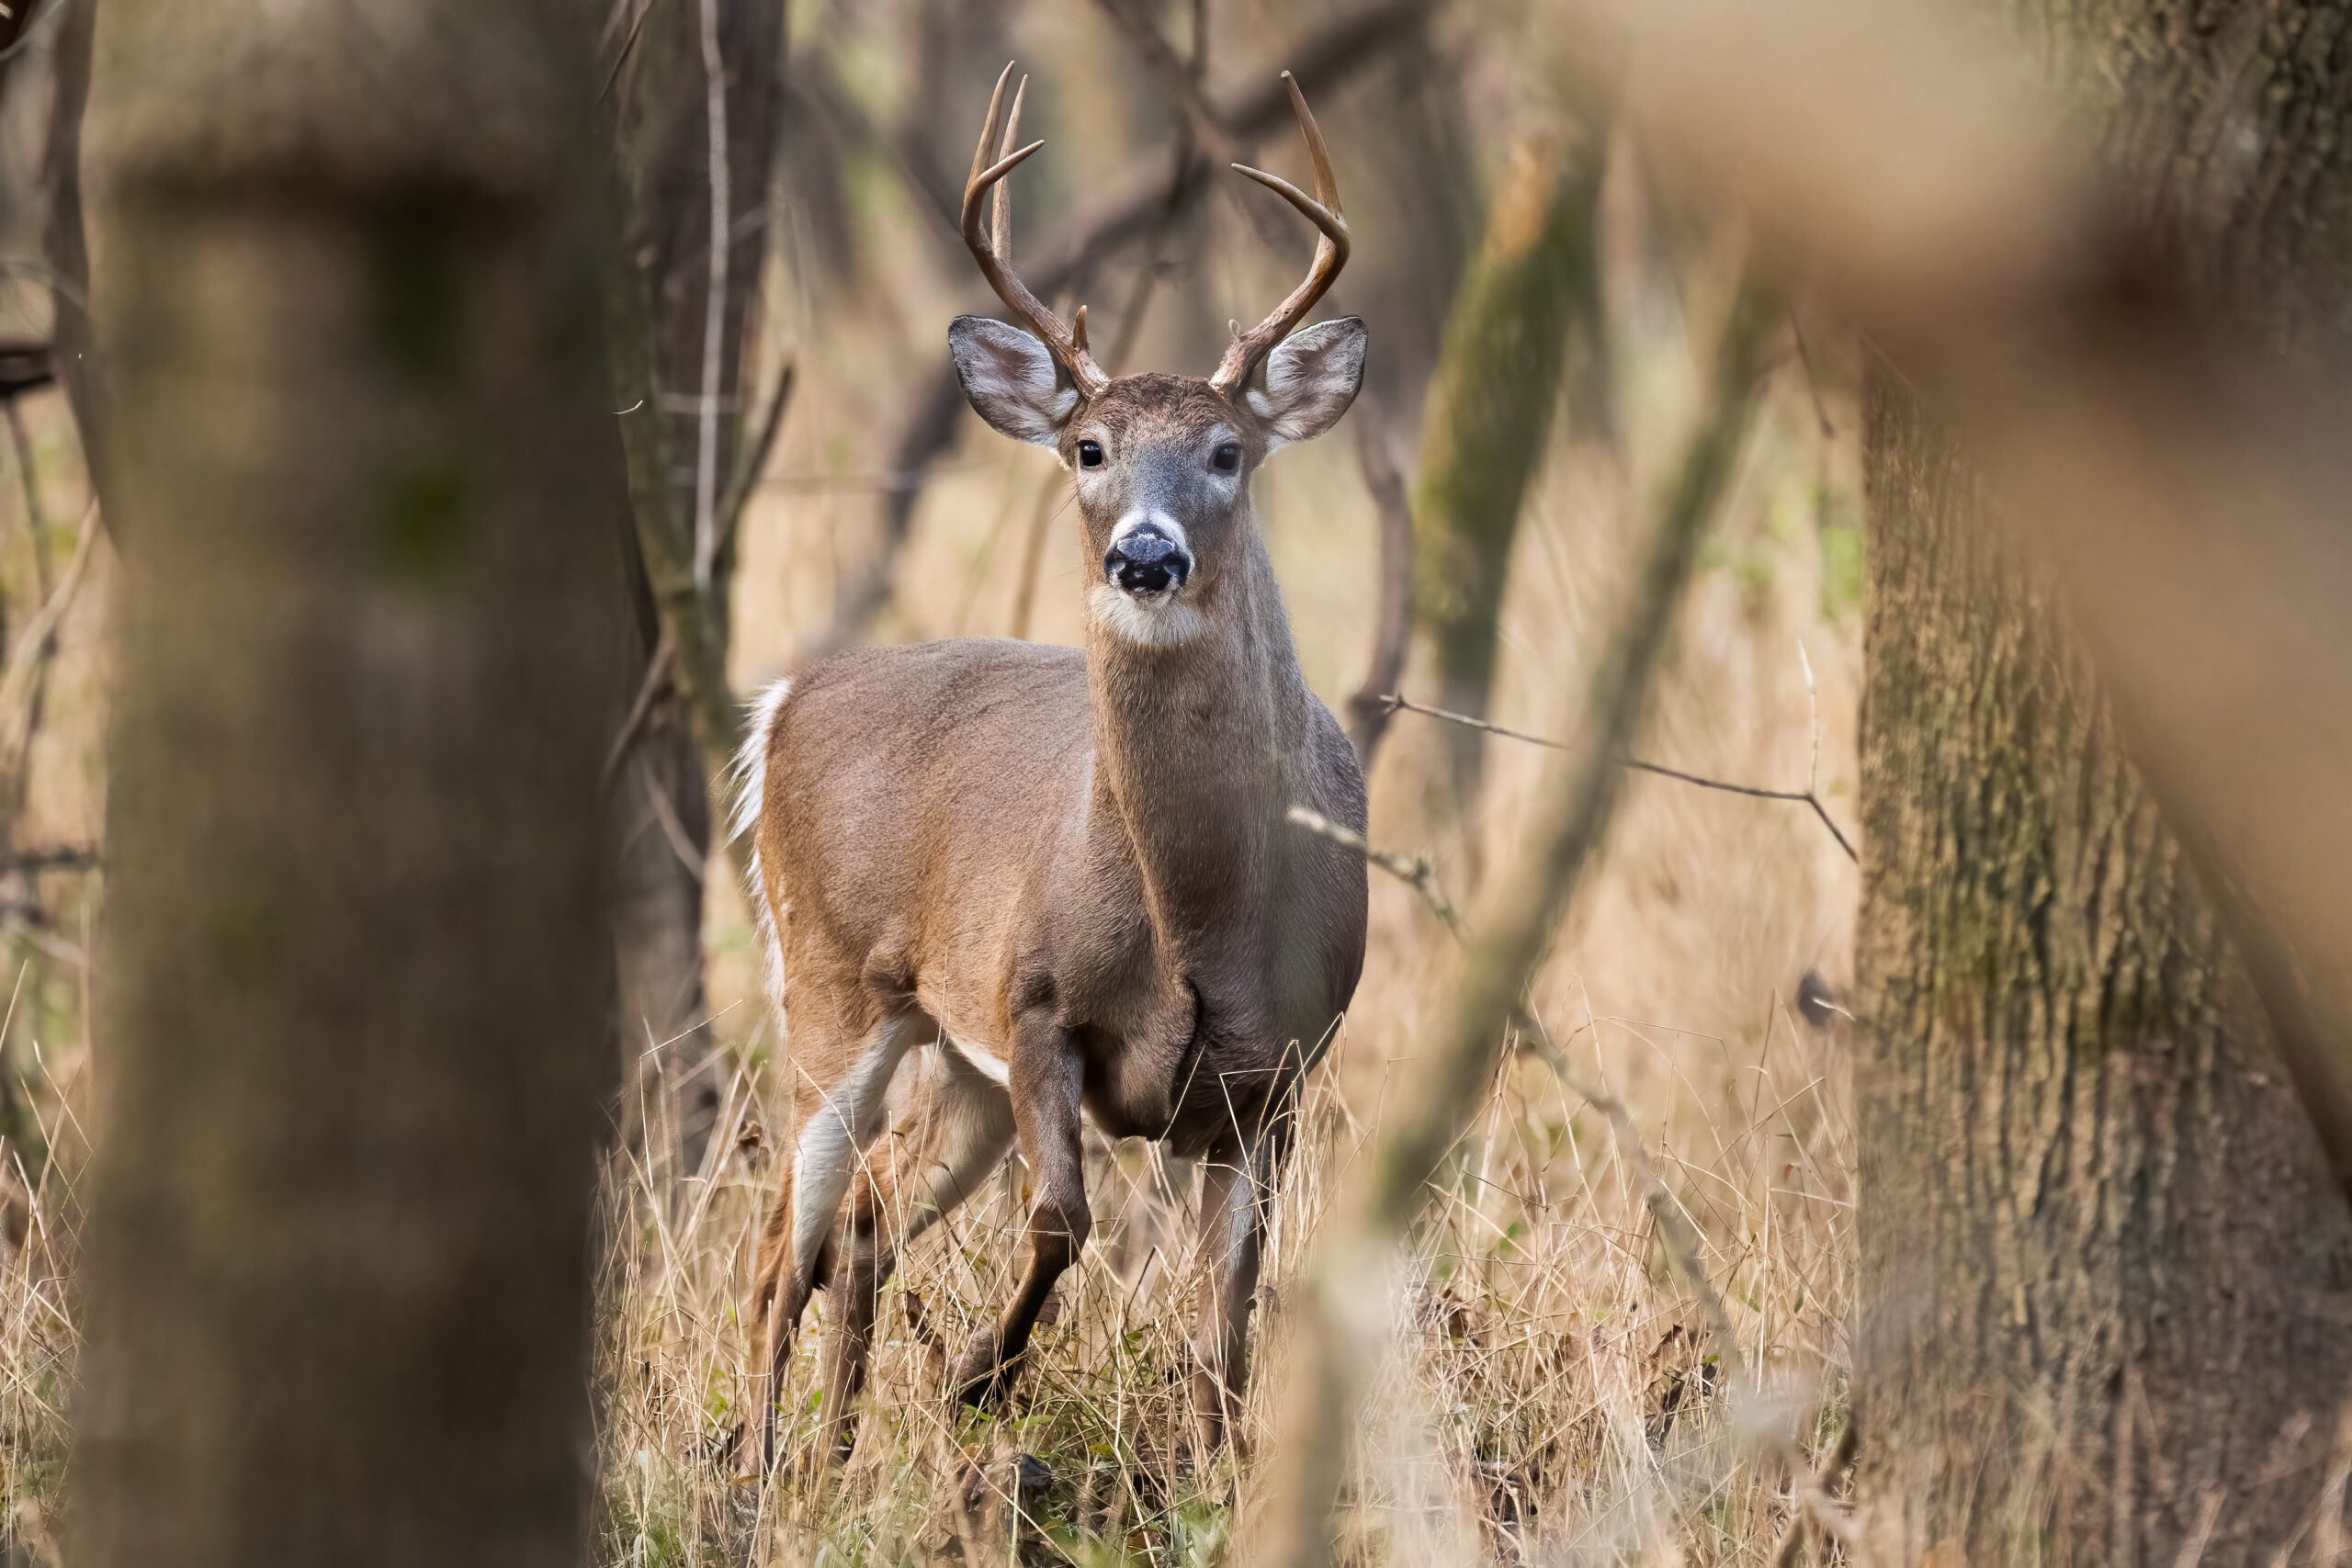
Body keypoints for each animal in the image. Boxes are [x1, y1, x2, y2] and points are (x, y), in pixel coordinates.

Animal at [737, 63, 1369, 1471]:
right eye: (1088, 448)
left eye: (1228, 452)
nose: (1145, 554)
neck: (1198, 916)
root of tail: (783, 700)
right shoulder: (1031, 1003)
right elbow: (1064, 1218)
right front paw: (981, 1376)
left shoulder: (1282, 1070)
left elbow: (1230, 1315)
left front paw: (1217, 1469)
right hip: (832, 982)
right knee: (780, 1242)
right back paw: (748, 1468)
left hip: (946, 1055)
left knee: (862, 1219)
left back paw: (832, 1454)